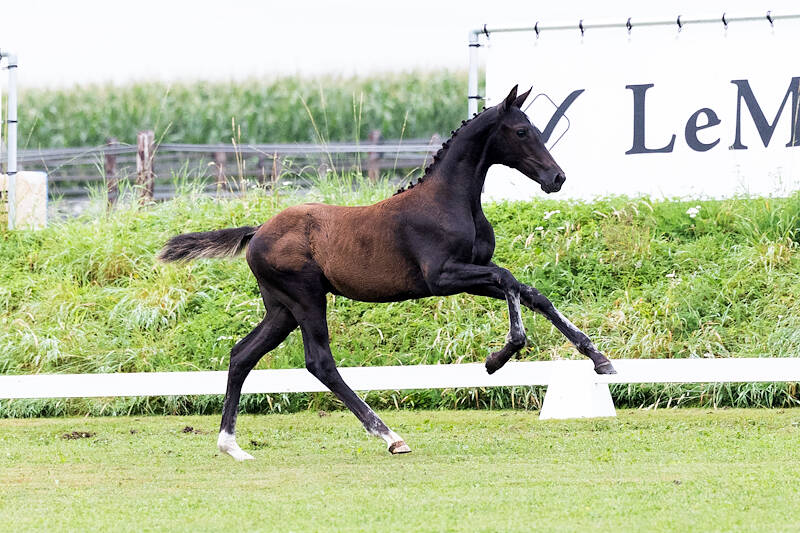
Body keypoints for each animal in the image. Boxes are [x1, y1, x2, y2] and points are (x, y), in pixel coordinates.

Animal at [158, 85, 616, 461]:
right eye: (521, 132)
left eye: (537, 128)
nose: (556, 177)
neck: (449, 199)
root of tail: (256, 233)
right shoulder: (442, 278)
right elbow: (509, 281)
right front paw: (496, 360)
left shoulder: (474, 271)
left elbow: (530, 292)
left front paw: (600, 359)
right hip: (306, 299)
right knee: (320, 362)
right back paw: (390, 436)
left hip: (281, 309)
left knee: (242, 354)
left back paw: (231, 445)